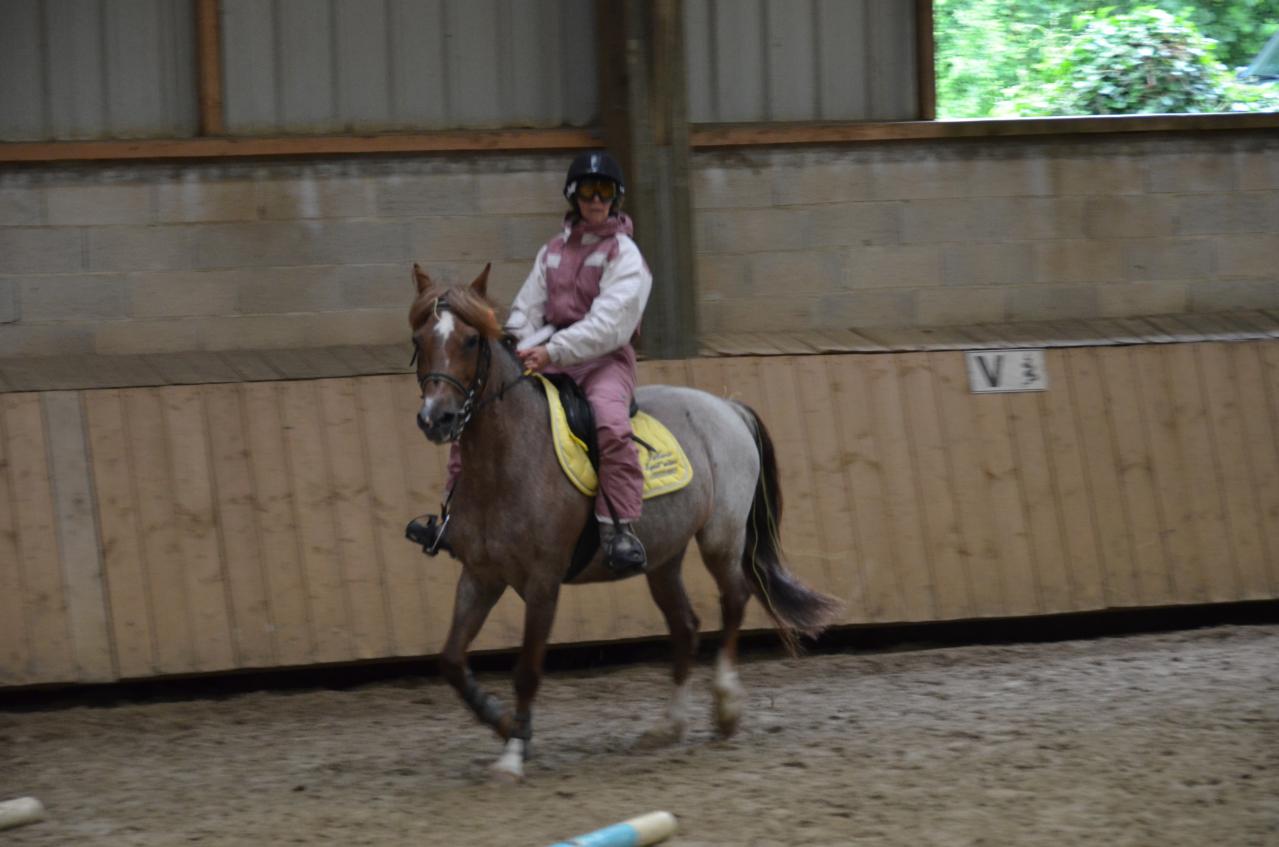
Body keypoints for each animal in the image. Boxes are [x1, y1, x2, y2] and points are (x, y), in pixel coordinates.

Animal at [406, 266, 839, 783]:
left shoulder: (542, 583)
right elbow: (451, 660)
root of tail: (727, 407)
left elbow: (527, 670)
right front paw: (506, 723)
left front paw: (513, 752)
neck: (505, 460)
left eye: (471, 340)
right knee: (686, 627)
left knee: (734, 600)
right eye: (419, 339)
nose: (437, 418)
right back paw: (668, 726)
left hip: (721, 537)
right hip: (663, 557)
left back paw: (725, 706)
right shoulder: (481, 576)